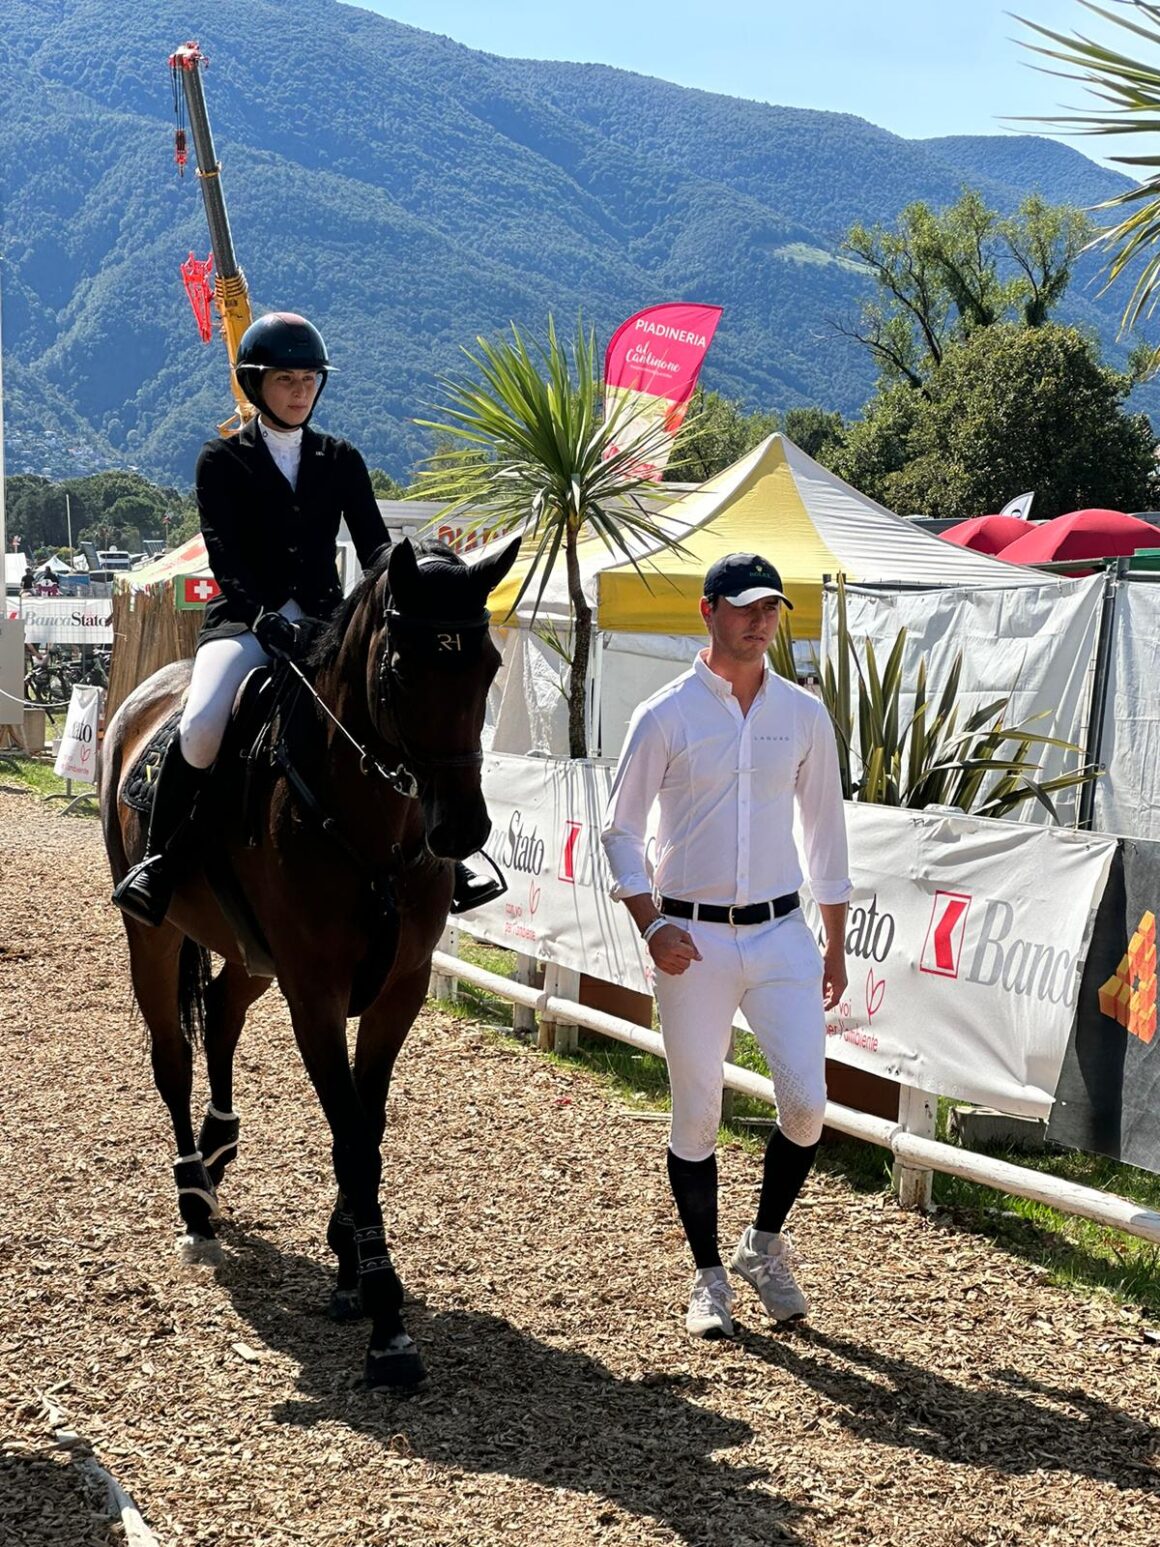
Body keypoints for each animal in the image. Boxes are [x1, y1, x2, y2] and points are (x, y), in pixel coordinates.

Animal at [102, 535, 519, 1392]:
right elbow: (353, 1135)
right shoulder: (317, 995)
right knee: (172, 1055)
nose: (461, 829)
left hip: (255, 955)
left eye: (490, 662)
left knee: (222, 1013)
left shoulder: (399, 989)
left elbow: (369, 1123)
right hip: (153, 935)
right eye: (402, 668)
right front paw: (386, 1315)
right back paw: (193, 1195)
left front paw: (348, 1259)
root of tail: (141, 697)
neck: (375, 829)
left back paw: (220, 1143)